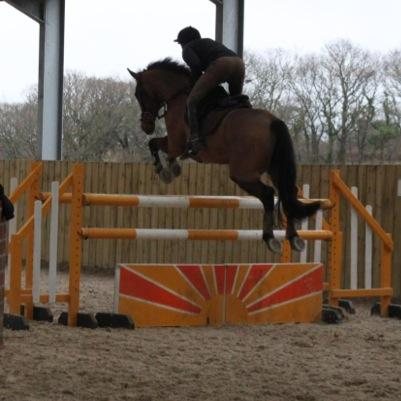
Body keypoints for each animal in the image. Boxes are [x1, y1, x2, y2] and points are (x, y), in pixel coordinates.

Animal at [128, 57, 322, 252]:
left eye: (139, 94)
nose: (146, 126)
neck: (177, 94)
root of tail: (273, 122)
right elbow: (156, 145)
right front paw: (171, 168)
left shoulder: (176, 144)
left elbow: (155, 144)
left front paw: (166, 171)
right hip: (276, 169)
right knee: (288, 192)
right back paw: (294, 238)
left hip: (242, 174)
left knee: (268, 194)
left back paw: (270, 238)